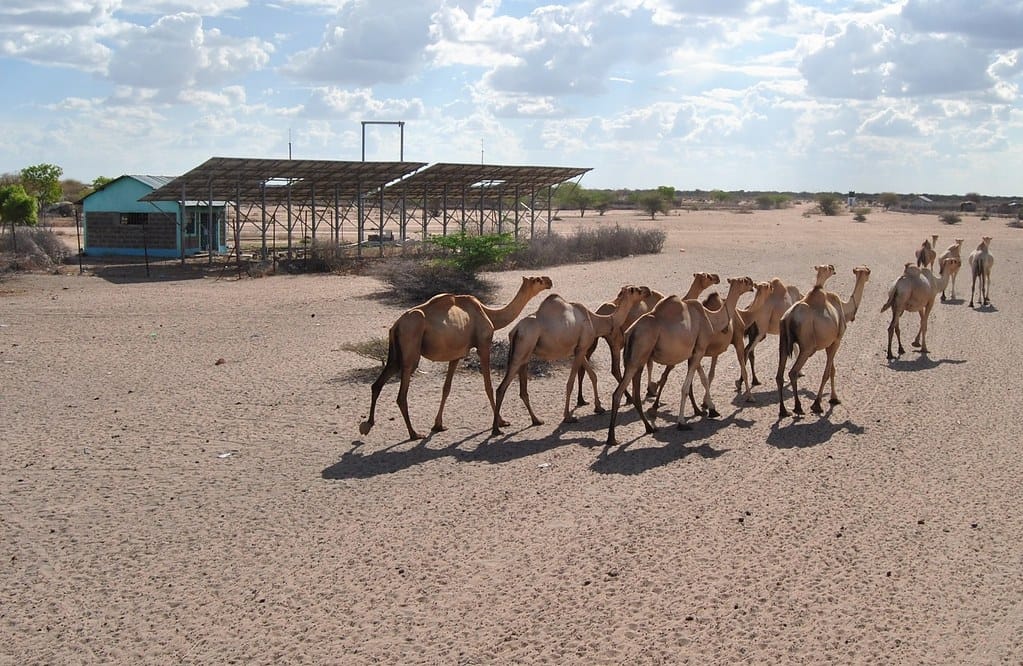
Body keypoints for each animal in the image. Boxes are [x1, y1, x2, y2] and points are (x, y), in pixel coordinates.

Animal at [360, 275, 552, 440]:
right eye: (537, 280)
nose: (549, 281)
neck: (490, 314)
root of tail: (397, 325)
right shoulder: (484, 344)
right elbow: (488, 386)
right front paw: (501, 422)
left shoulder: (456, 354)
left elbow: (446, 388)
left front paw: (438, 425)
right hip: (410, 350)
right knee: (401, 393)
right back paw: (414, 433)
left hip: (395, 354)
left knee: (377, 384)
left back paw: (368, 425)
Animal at [491, 285, 650, 435]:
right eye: (635, 289)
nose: (647, 291)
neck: (595, 321)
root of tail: (515, 330)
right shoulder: (582, 347)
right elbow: (570, 383)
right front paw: (568, 416)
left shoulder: (579, 349)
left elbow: (593, 375)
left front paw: (598, 407)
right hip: (522, 350)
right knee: (501, 388)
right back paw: (497, 429)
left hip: (524, 354)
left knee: (522, 391)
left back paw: (536, 420)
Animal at [606, 276, 752, 446]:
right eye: (744, 281)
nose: (752, 284)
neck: (710, 317)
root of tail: (631, 331)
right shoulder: (700, 349)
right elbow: (686, 387)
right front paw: (682, 422)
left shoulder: (694, 352)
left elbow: (702, 380)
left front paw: (711, 409)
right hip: (637, 358)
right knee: (618, 393)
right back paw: (613, 438)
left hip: (636, 361)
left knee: (630, 393)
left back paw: (647, 428)